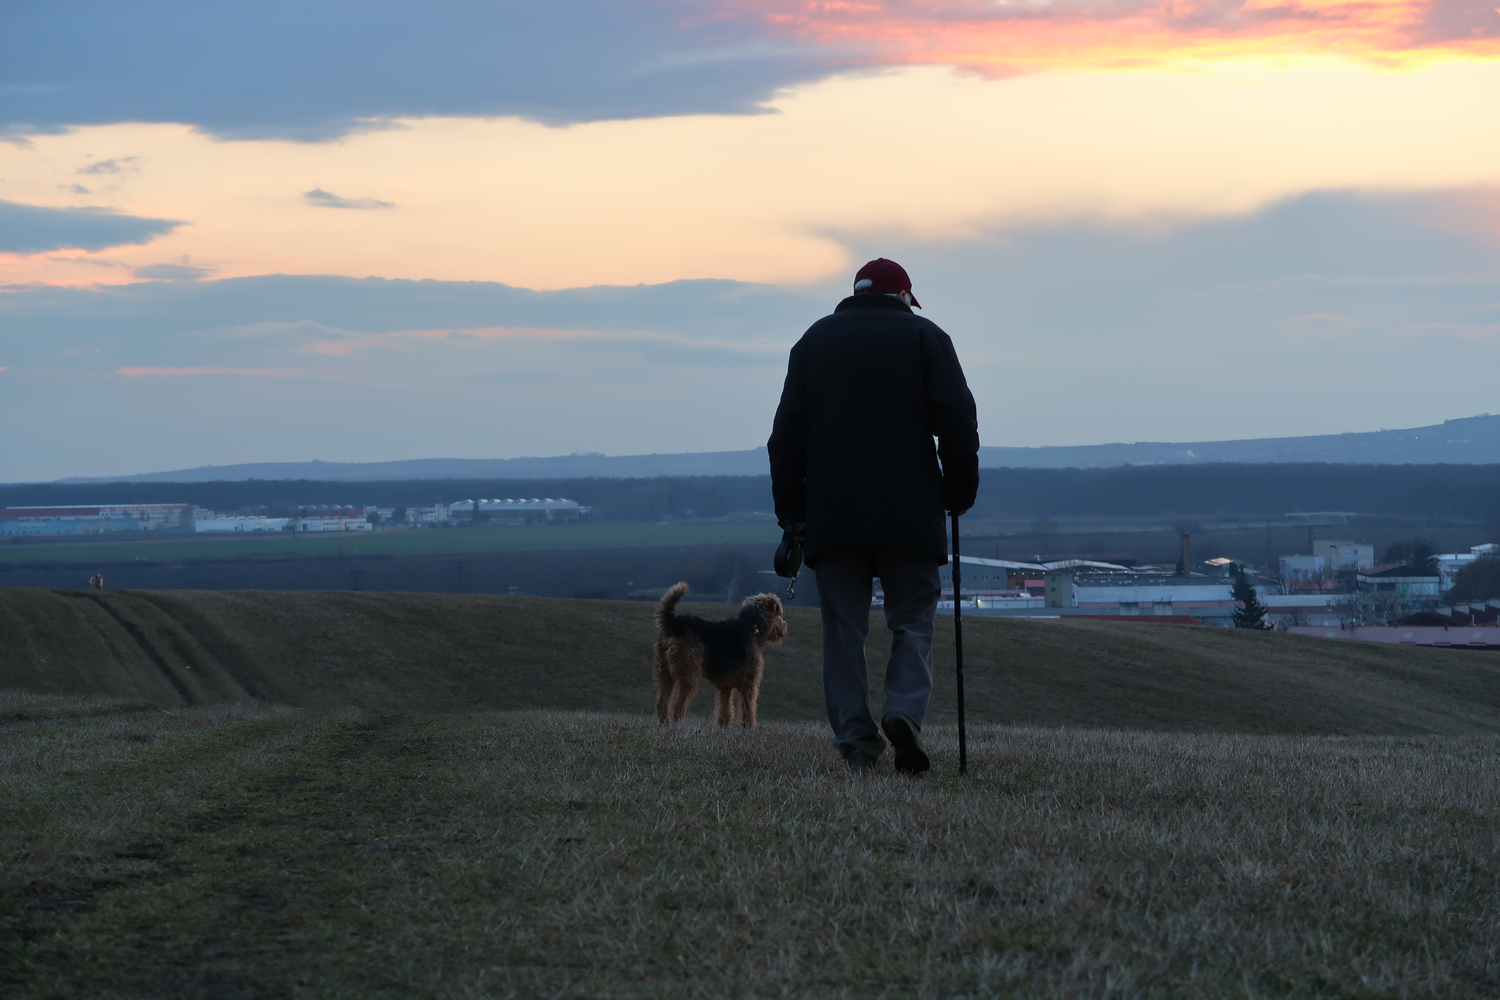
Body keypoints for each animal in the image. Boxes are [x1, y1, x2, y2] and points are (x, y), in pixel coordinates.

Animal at [653, 581, 787, 728]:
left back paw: (664, 724)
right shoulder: (750, 682)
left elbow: (725, 708)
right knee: (678, 705)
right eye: (779, 614)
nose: (784, 627)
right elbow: (748, 707)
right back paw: (680, 725)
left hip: (665, 673)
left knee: (662, 703)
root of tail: (673, 624)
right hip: (689, 674)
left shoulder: (725, 686)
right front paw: (748, 727)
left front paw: (724, 726)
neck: (752, 624)